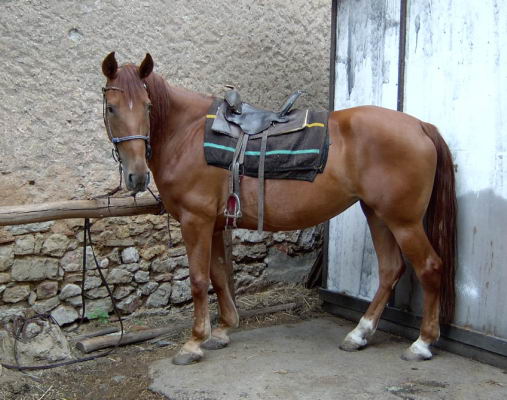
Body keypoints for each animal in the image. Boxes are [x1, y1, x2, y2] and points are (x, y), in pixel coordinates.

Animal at [101, 52, 458, 366]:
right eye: (111, 108)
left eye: (148, 106)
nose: (136, 176)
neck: (187, 134)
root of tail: (420, 125)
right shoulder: (213, 224)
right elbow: (218, 275)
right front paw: (224, 329)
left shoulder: (196, 221)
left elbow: (200, 280)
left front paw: (194, 342)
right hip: (378, 214)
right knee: (390, 270)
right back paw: (359, 334)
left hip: (404, 221)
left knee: (429, 267)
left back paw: (422, 343)